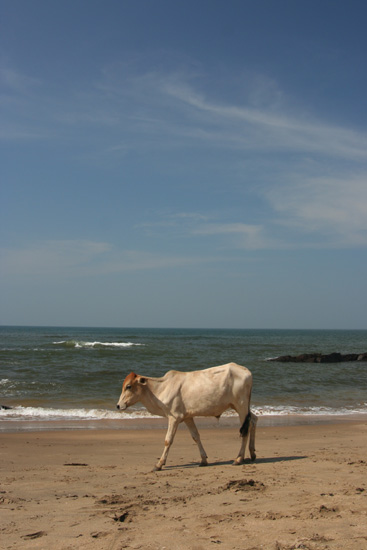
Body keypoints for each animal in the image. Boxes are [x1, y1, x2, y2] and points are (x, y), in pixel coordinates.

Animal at [116, 364, 258, 472]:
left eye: (128, 386)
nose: (118, 405)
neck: (161, 388)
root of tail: (246, 371)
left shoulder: (174, 418)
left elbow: (168, 440)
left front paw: (159, 464)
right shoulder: (188, 417)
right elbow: (196, 436)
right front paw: (203, 460)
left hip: (241, 406)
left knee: (245, 430)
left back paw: (239, 458)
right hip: (241, 407)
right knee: (253, 420)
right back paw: (252, 453)